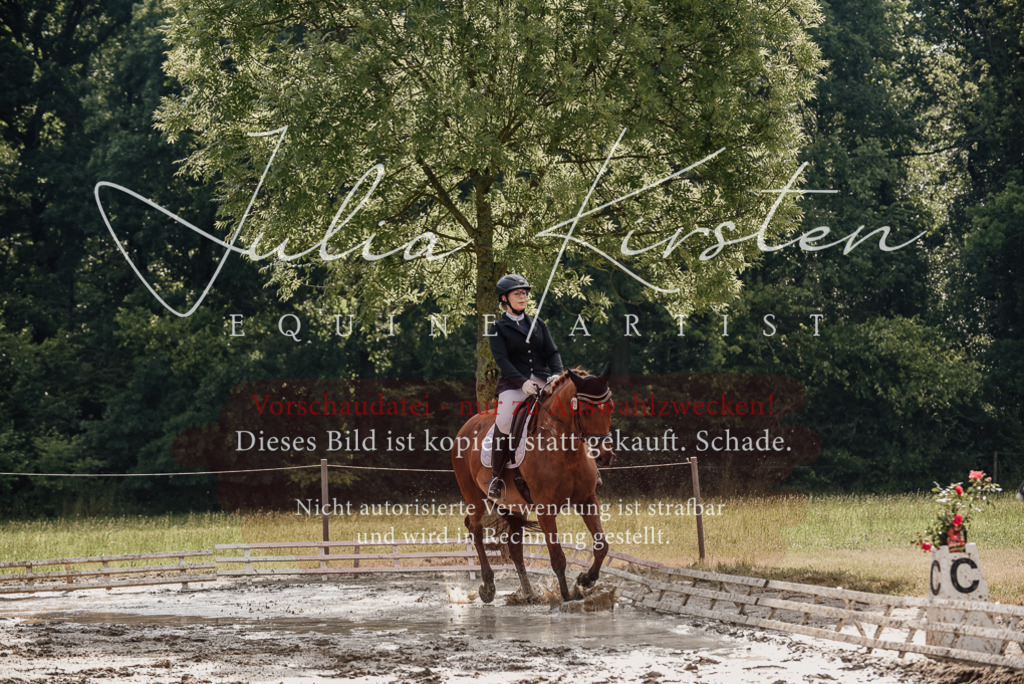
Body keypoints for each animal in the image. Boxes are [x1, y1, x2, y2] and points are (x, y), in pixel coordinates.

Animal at [451, 367, 616, 603]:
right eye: (586, 411)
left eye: (611, 407)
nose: (605, 456)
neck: (567, 451)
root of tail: (467, 425)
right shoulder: (545, 509)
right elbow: (557, 557)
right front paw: (566, 597)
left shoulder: (587, 500)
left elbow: (602, 545)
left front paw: (586, 580)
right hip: (473, 495)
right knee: (475, 530)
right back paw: (488, 587)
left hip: (515, 505)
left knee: (514, 545)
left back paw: (528, 592)